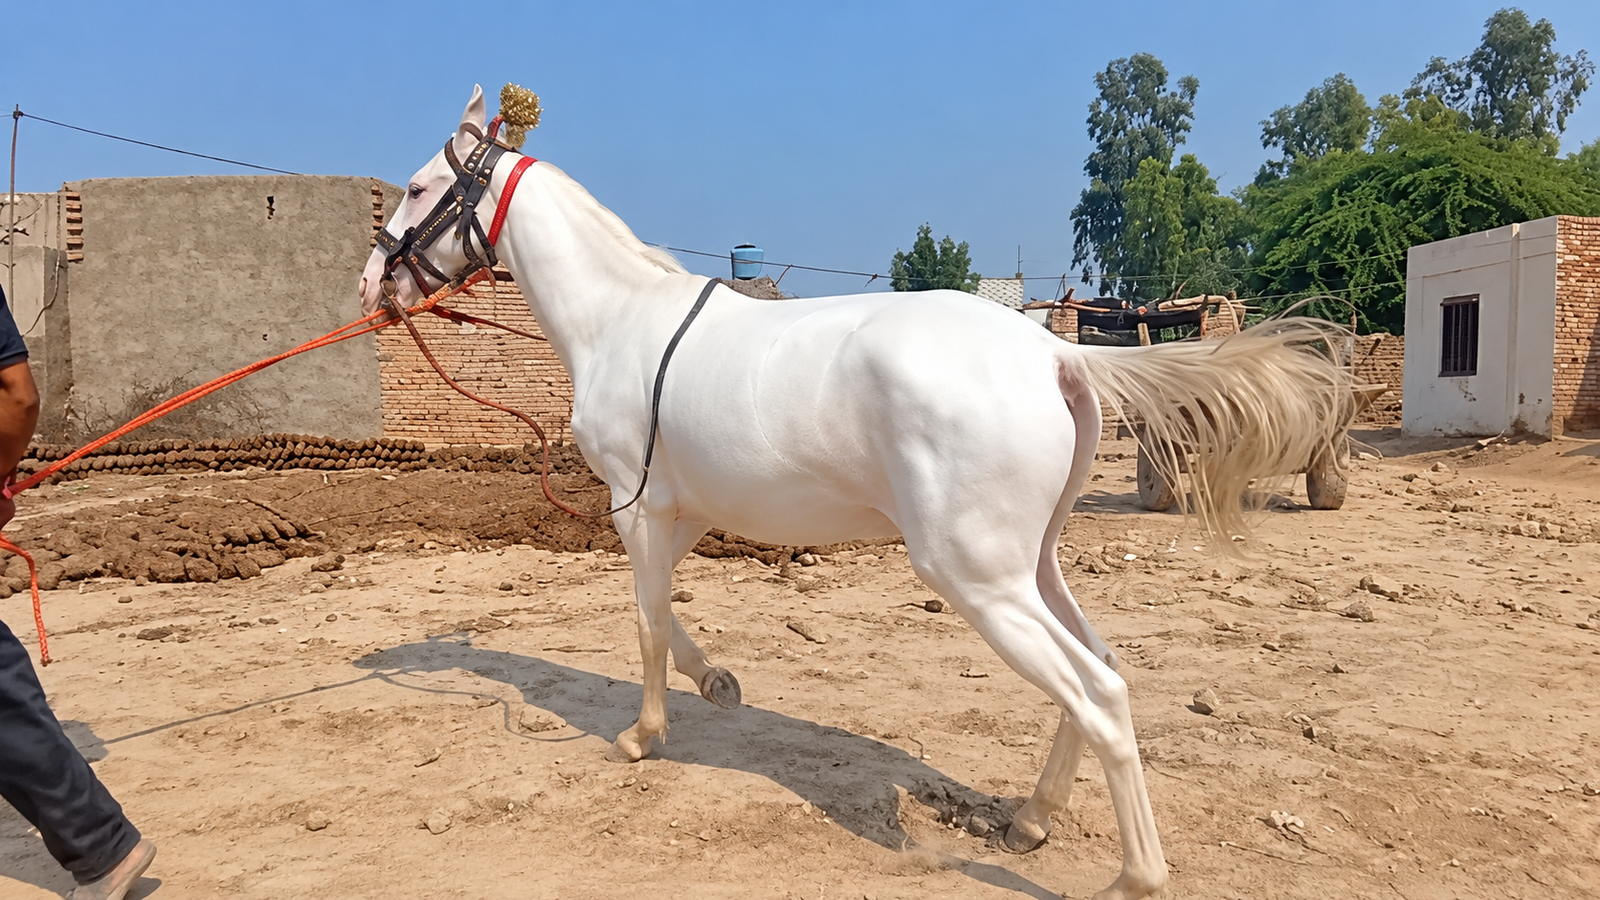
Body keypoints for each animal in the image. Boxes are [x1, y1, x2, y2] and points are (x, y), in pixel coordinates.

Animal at [359, 86, 1354, 900]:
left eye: (414, 188)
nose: (372, 282)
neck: (619, 323)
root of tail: (1054, 352)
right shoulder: (683, 513)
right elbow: (668, 614)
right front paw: (717, 682)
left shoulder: (636, 508)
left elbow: (643, 621)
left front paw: (644, 735)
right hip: (1032, 566)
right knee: (1101, 668)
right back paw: (1031, 818)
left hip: (976, 578)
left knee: (1099, 696)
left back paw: (1132, 877)